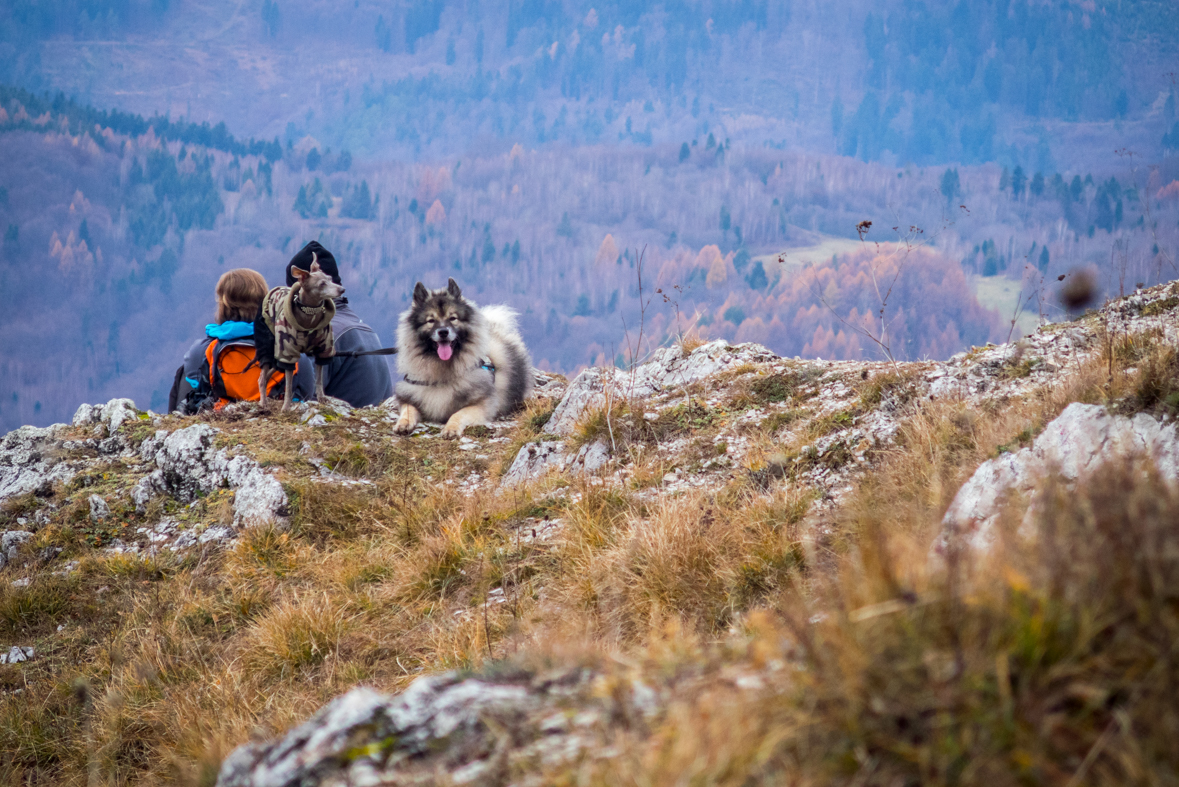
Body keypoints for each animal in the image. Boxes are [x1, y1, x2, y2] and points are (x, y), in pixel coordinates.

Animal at [396, 278, 535, 440]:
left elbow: (458, 414)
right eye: (431, 320)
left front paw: (451, 428)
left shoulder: (481, 404)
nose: (443, 332)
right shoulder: (409, 395)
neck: (441, 371)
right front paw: (403, 423)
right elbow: (408, 409)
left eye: (453, 318)